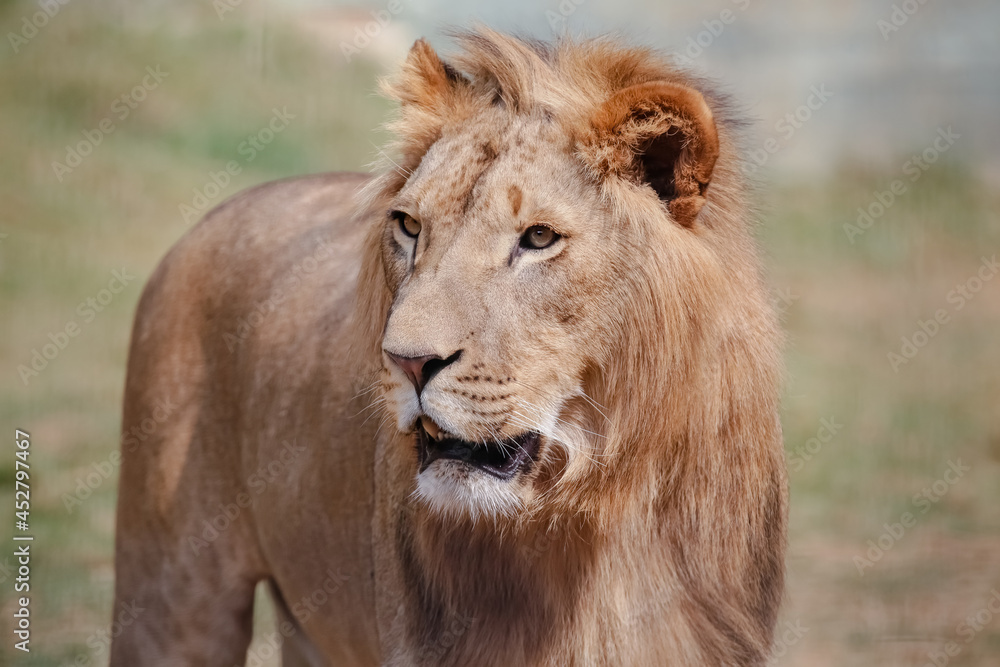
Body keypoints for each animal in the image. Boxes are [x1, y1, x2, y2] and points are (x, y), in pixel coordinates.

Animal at [107, 27, 780, 667]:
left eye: (538, 238)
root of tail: (220, 211)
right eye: (409, 226)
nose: (406, 361)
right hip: (171, 597)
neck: (604, 519)